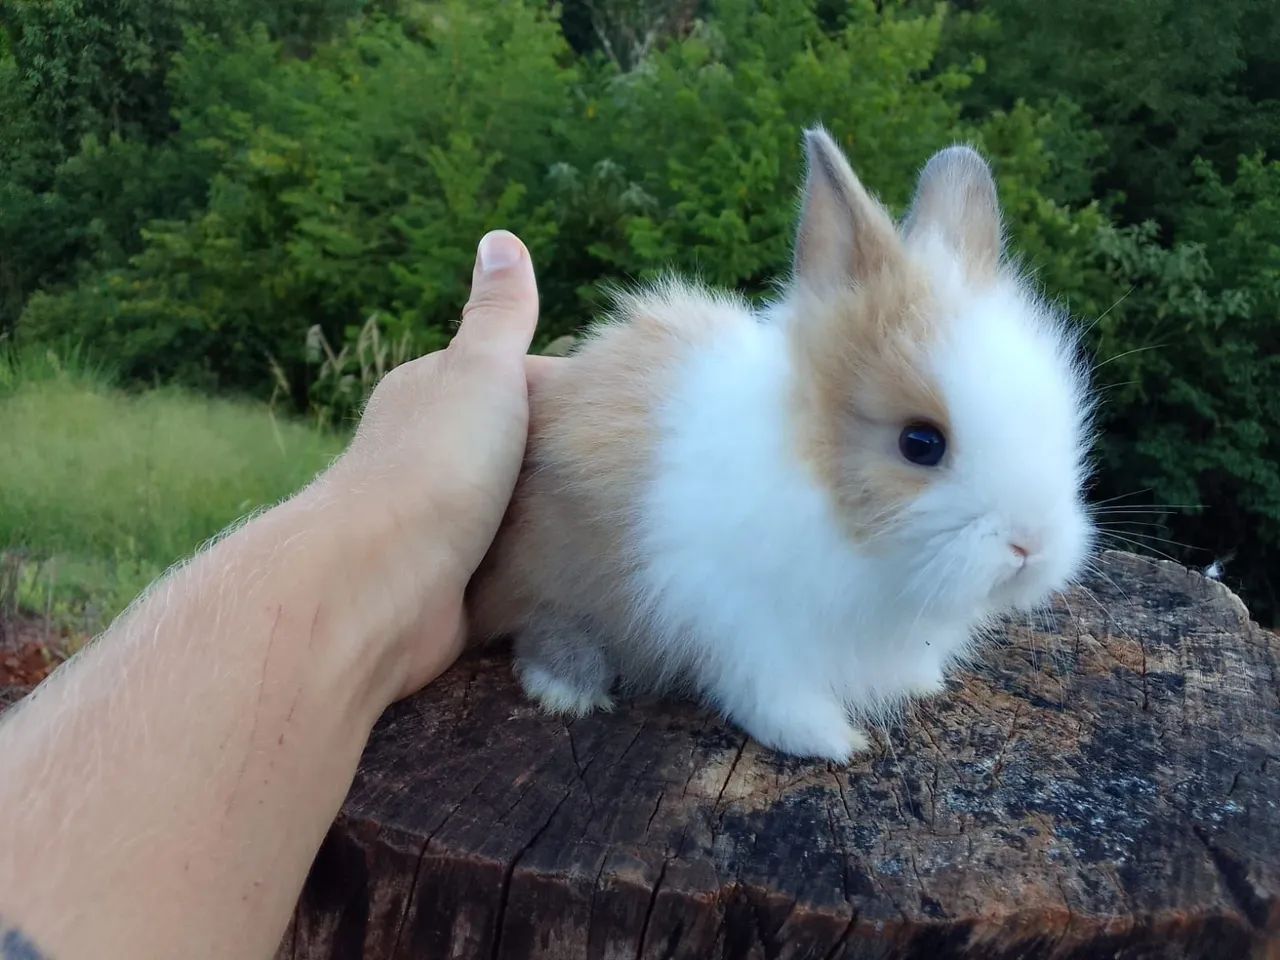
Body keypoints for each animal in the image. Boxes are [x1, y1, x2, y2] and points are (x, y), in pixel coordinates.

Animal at [467, 127, 1095, 762]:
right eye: (920, 443)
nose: (1031, 547)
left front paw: (924, 683)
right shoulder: (745, 626)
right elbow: (771, 695)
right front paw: (832, 743)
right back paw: (568, 687)